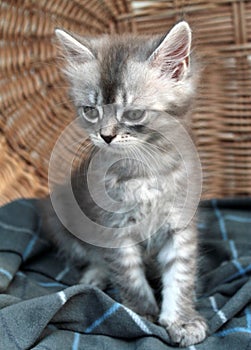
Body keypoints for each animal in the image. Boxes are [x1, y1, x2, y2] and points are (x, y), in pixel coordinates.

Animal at [41, 22, 208, 348]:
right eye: (90, 111)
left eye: (133, 113)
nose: (105, 136)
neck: (146, 171)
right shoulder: (113, 227)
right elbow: (128, 274)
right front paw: (141, 314)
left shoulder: (180, 223)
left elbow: (180, 273)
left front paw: (182, 320)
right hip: (59, 216)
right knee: (91, 257)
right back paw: (95, 277)